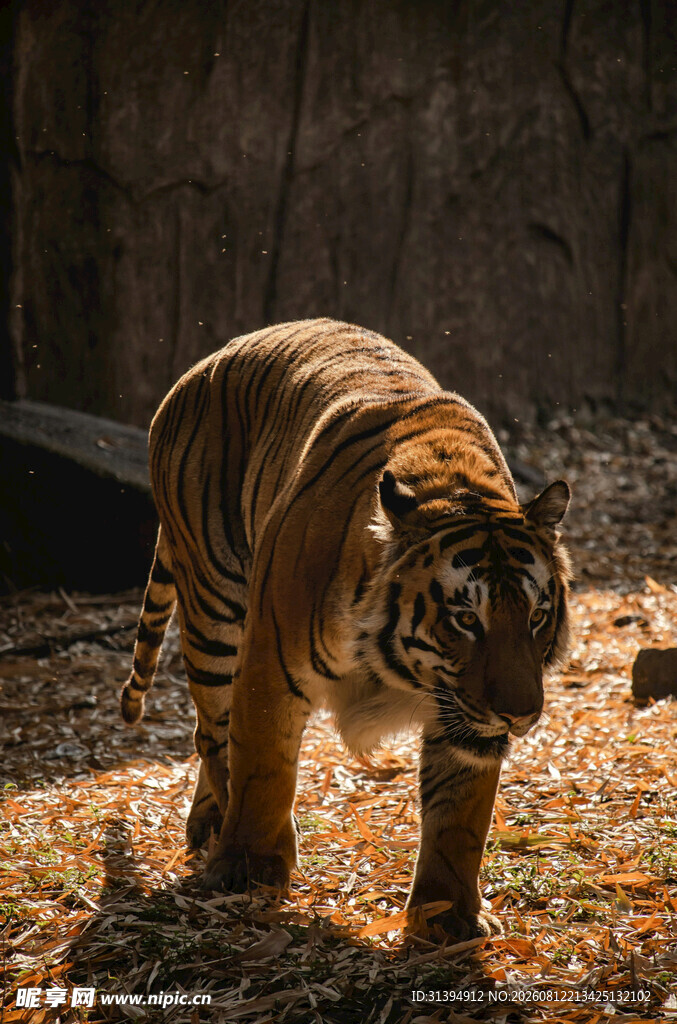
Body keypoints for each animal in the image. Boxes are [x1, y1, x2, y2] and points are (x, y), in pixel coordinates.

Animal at [120, 317, 571, 939]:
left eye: (536, 617)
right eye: (465, 619)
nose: (520, 715)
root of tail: (203, 363)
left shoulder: (461, 715)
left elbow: (460, 815)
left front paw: (447, 915)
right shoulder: (268, 664)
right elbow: (262, 765)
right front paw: (247, 869)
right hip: (215, 608)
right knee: (212, 735)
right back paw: (227, 830)